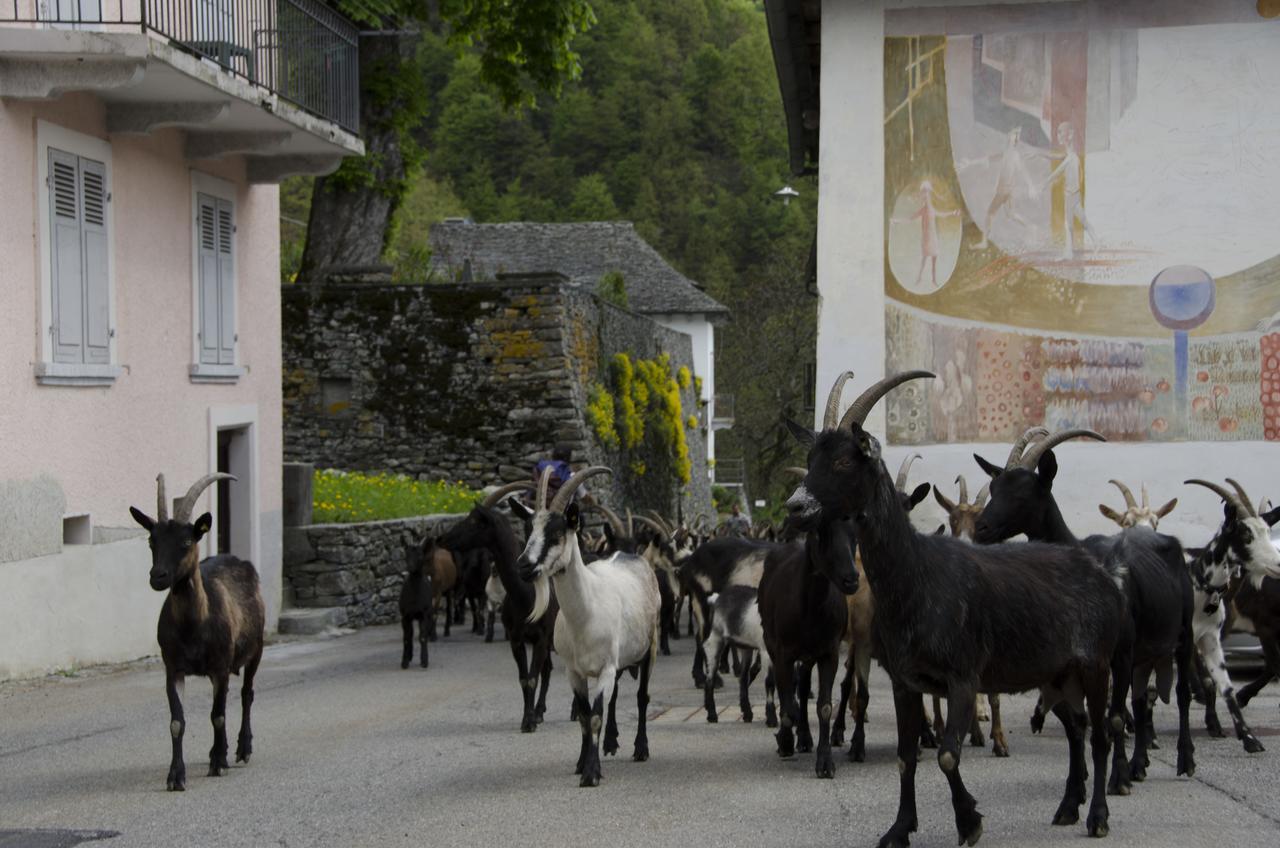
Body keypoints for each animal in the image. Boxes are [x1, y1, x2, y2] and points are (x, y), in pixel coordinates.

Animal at [129, 473, 264, 794]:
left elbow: (217, 715)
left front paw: (218, 764)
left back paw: (241, 749)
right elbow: (177, 722)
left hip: (257, 648)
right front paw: (176, 776)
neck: (193, 626)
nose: (158, 577)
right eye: (152, 540)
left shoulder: (220, 665)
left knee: (246, 693)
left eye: (186, 541)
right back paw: (222, 750)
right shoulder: (173, 668)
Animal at [519, 466, 660, 789]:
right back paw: (610, 743)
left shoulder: (606, 667)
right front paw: (581, 763)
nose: (524, 565)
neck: (585, 614)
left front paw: (592, 774)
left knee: (641, 697)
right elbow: (584, 717)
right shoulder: (575, 671)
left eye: (556, 532)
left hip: (651, 645)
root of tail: (635, 557)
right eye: (528, 529)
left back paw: (641, 749)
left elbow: (595, 716)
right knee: (616, 697)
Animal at [783, 376, 1126, 845]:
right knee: (1077, 728)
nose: (795, 507)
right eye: (810, 457)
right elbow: (906, 757)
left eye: (842, 460)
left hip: (1095, 665)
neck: (918, 576)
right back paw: (1067, 808)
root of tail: (1099, 571)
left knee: (1100, 734)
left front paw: (970, 822)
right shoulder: (906, 683)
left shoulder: (963, 678)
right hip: (1057, 674)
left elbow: (947, 756)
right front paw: (899, 829)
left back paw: (1098, 817)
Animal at [972, 432, 1192, 799]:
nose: (981, 528)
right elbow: (1079, 718)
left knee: (1183, 693)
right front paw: (1086, 778)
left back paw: (1185, 761)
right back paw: (1140, 764)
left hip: (1183, 634)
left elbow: (1113, 716)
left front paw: (1117, 780)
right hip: (1144, 654)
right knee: (1141, 699)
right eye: (994, 487)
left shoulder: (1118, 654)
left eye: (1023, 493)